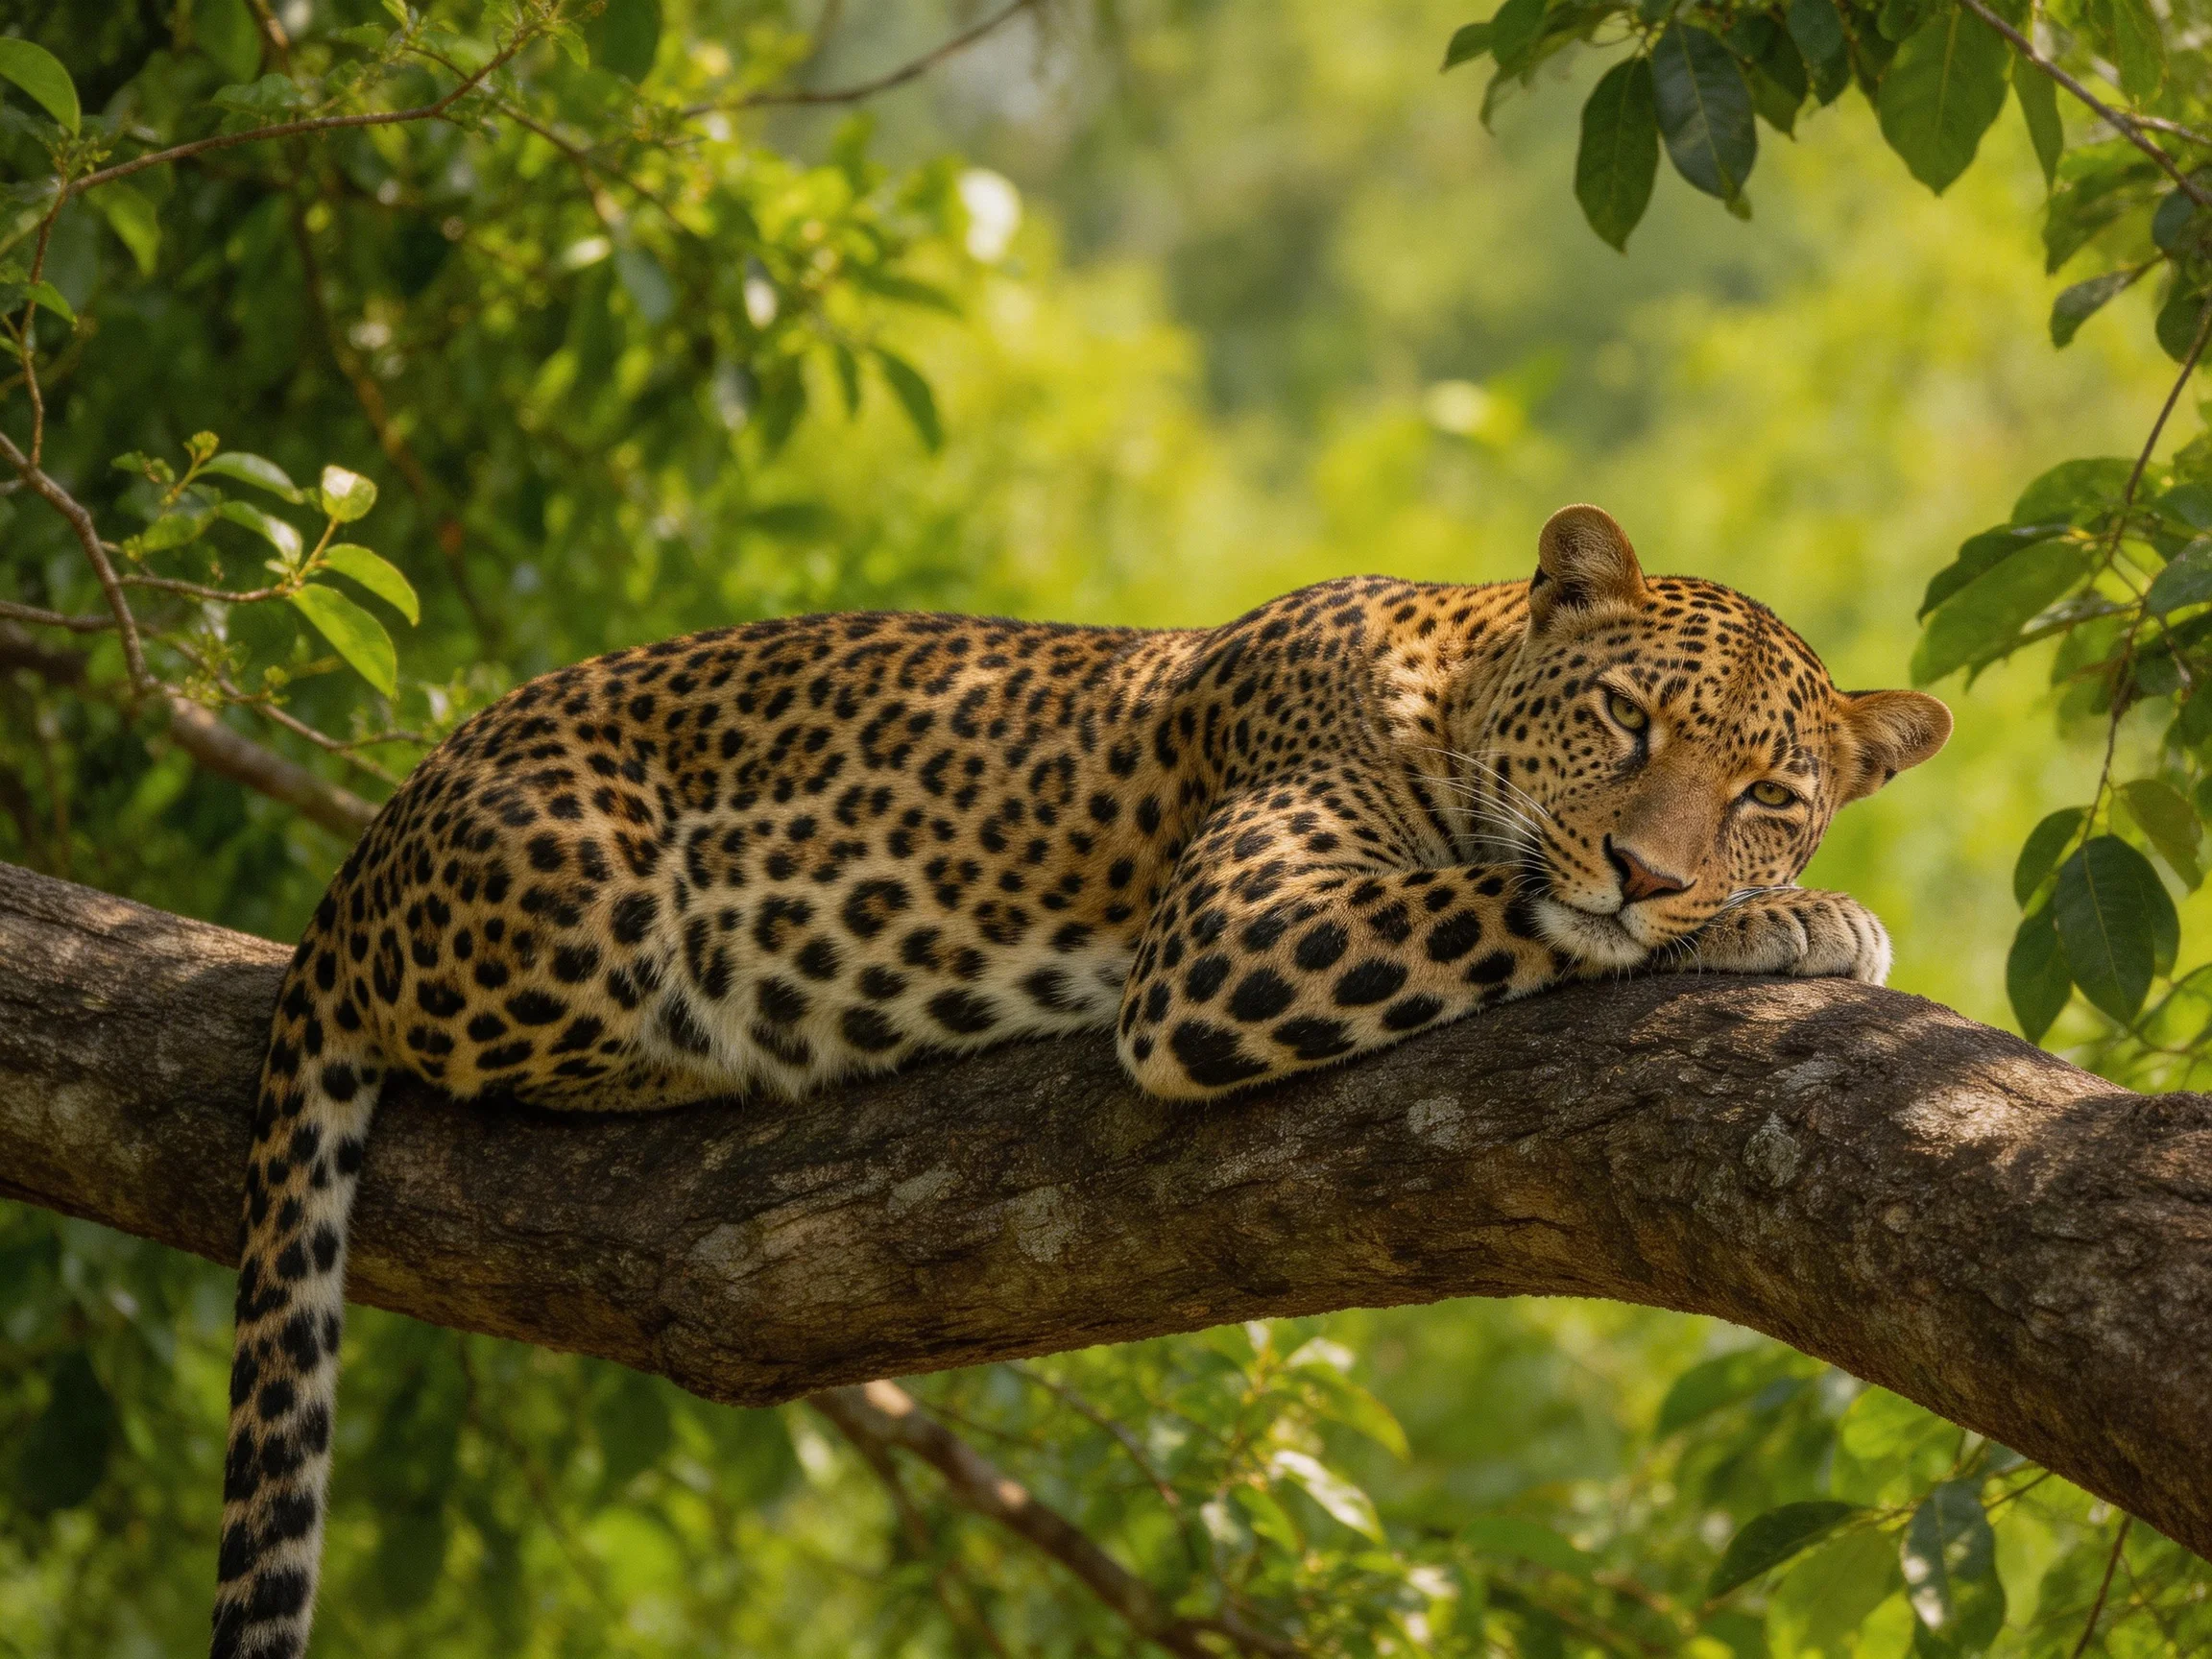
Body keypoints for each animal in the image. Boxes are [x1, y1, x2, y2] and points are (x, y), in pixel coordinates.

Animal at [210, 504, 1950, 1657]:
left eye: (1769, 791)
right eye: (1623, 715)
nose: (1656, 871)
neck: (1451, 677)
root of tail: (359, 868)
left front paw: (1760, 902)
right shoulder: (1235, 938)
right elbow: (1509, 901)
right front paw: (1786, 921)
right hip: (592, 889)